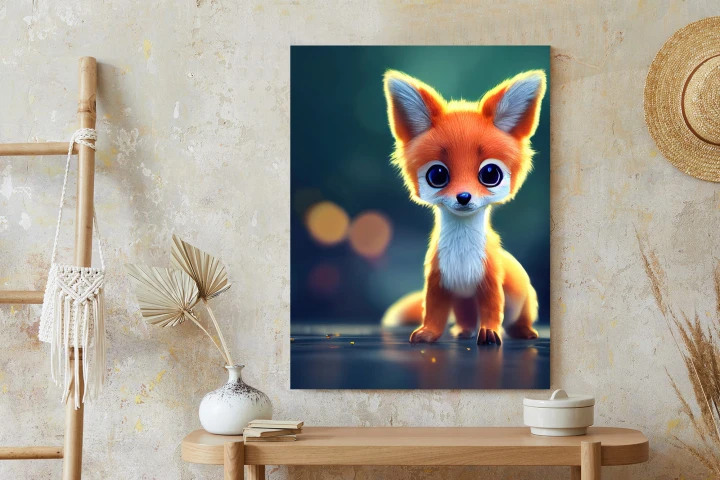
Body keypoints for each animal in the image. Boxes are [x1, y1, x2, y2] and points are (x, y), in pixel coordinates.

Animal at [381, 69, 546, 346]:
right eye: (437, 175)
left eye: (490, 174)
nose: (464, 196)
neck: (461, 256)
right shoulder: (438, 283)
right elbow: (434, 313)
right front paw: (428, 333)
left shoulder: (490, 283)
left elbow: (492, 311)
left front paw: (489, 333)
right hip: (463, 304)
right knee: (466, 319)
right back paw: (464, 331)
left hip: (524, 302)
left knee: (518, 320)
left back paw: (523, 332)